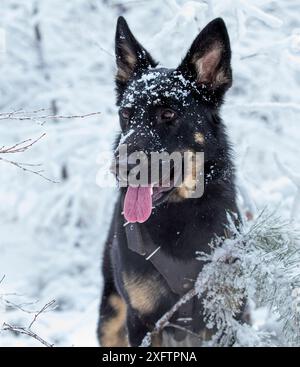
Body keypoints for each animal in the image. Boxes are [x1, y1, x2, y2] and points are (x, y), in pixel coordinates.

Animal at [97, 15, 240, 348]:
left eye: (168, 113)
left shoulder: (223, 318)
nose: (120, 166)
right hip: (110, 320)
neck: (178, 215)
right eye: (126, 113)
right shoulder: (143, 322)